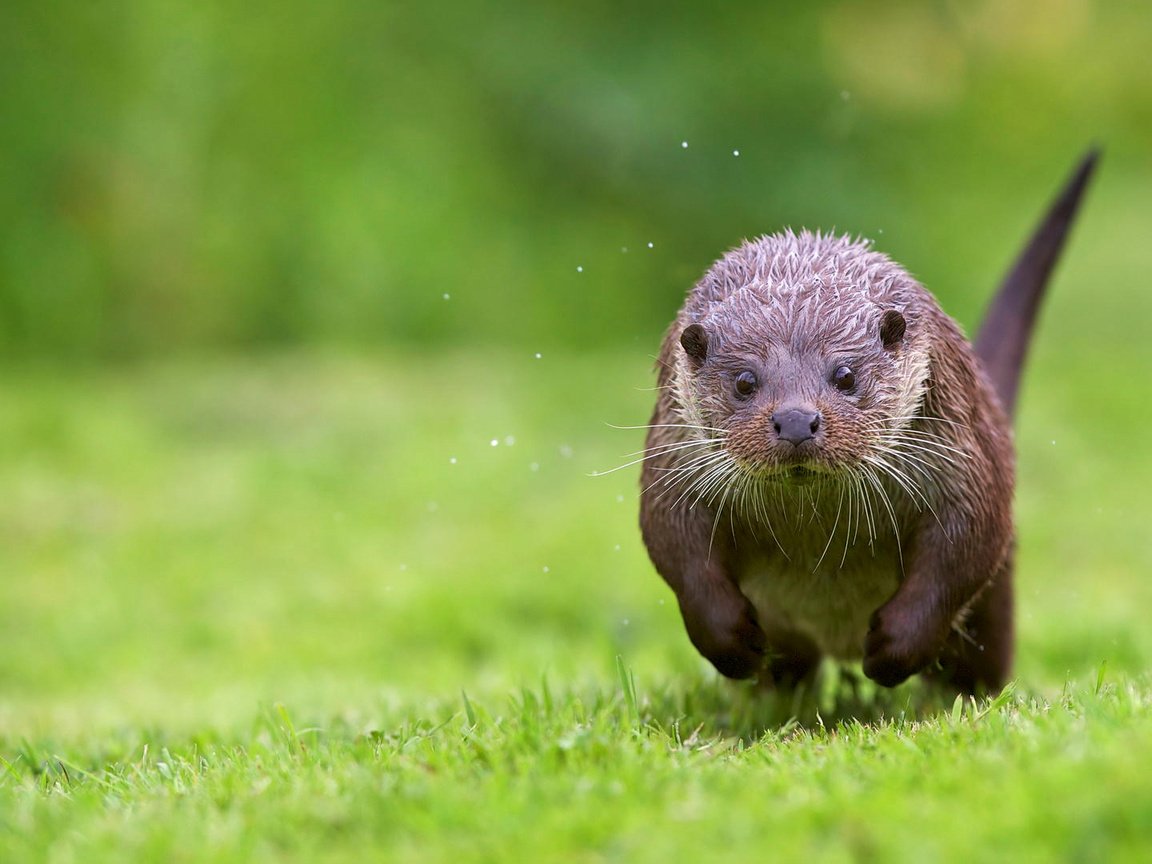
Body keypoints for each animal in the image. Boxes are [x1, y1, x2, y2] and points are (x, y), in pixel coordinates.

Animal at [640, 154, 1096, 695]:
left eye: (845, 374)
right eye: (745, 381)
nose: (796, 420)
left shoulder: (964, 465)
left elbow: (963, 548)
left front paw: (893, 649)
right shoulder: (673, 460)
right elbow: (675, 545)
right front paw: (732, 642)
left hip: (998, 598)